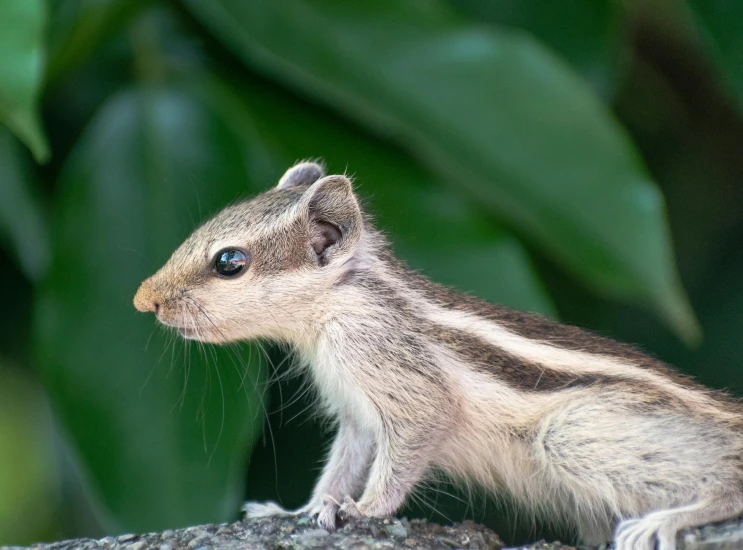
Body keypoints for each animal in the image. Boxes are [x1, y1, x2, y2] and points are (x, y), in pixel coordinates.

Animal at [134, 162, 743, 548]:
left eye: (229, 262)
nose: (144, 300)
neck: (337, 305)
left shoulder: (401, 380)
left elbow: (404, 451)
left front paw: (363, 510)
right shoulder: (357, 415)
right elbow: (341, 464)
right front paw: (301, 509)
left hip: (574, 435)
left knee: (728, 480)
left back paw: (678, 516)